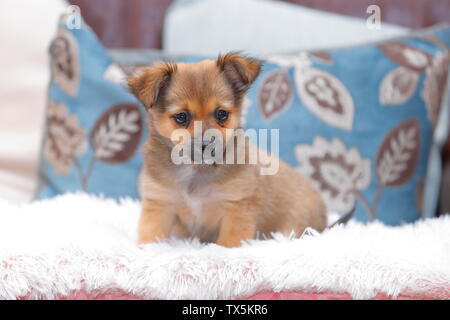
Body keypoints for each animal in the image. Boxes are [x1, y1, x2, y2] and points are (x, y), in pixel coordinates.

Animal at [128, 52, 326, 248]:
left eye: (221, 114)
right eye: (181, 117)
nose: (206, 144)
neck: (196, 171)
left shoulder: (236, 209)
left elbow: (227, 244)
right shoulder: (159, 205)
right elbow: (151, 238)